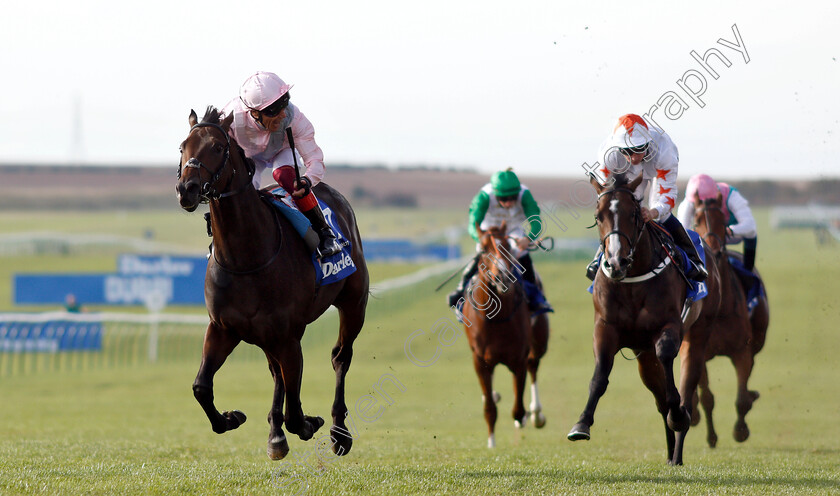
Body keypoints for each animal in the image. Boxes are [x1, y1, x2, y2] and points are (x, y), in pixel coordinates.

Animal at [175, 107, 368, 462]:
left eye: (218, 148)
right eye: (183, 146)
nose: (187, 189)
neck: (246, 258)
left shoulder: (289, 336)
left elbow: (296, 412)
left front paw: (310, 422)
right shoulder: (223, 328)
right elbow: (201, 387)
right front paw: (231, 418)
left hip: (353, 303)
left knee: (340, 357)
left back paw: (339, 431)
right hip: (267, 335)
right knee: (276, 372)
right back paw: (275, 434)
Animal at [460, 225, 552, 450]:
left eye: (508, 246)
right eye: (484, 248)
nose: (502, 275)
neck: (496, 318)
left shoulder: (518, 358)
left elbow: (518, 409)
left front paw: (525, 417)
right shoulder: (479, 360)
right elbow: (490, 408)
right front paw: (491, 443)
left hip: (539, 341)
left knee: (534, 366)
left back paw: (536, 414)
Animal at [572, 173, 720, 464]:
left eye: (633, 214)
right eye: (598, 215)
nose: (616, 262)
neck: (631, 278)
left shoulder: (669, 325)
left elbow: (666, 358)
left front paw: (679, 415)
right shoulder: (605, 327)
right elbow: (600, 374)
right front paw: (582, 424)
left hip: (687, 339)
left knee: (679, 390)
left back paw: (678, 447)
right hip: (643, 357)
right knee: (660, 399)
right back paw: (670, 452)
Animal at [688, 193, 768, 446]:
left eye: (722, 219)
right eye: (696, 220)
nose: (712, 249)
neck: (721, 307)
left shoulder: (742, 351)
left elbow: (741, 398)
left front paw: (740, 431)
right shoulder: (699, 350)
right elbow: (707, 397)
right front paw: (712, 436)